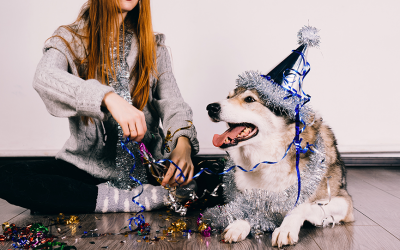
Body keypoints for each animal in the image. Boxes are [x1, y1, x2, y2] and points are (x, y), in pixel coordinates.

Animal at [206, 85, 354, 247]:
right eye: (228, 96)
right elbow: (248, 205)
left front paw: (286, 228)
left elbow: (302, 205)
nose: (210, 107)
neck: (269, 159)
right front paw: (239, 224)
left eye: (249, 99)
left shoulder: (344, 203)